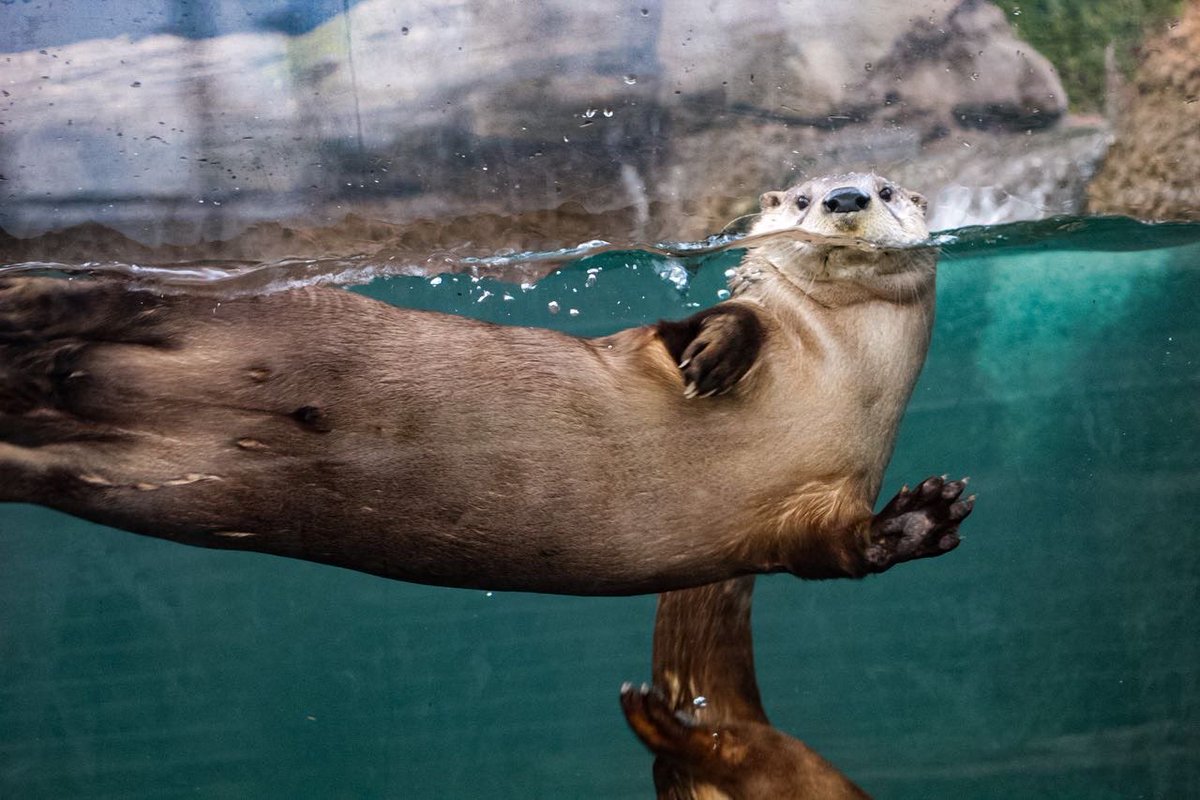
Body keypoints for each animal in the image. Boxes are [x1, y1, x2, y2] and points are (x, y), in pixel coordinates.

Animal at [0, 173, 971, 594]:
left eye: (887, 186)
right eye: (802, 197)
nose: (845, 198)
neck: (839, 374)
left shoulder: (813, 506)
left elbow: (840, 553)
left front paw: (925, 518)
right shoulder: (655, 345)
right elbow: (705, 327)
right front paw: (716, 353)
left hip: (136, 482)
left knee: (44, 461)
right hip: (236, 314)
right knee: (122, 294)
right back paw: (29, 294)